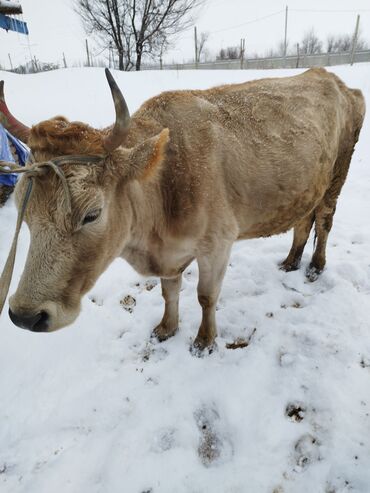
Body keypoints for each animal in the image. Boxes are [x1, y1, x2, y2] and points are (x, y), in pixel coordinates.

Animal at [0, 67, 364, 352]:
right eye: (23, 211)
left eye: (92, 214)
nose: (26, 316)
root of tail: (334, 80)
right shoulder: (168, 254)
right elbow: (169, 291)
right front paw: (167, 327)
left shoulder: (218, 244)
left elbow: (206, 296)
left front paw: (204, 340)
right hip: (308, 185)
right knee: (303, 222)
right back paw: (291, 261)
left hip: (337, 175)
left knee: (325, 221)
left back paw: (315, 266)